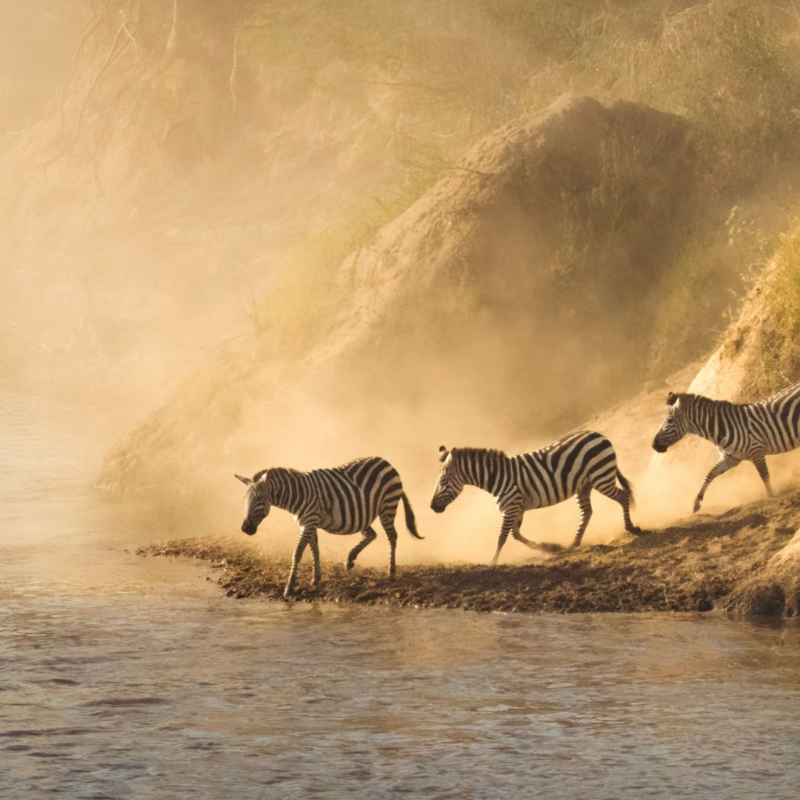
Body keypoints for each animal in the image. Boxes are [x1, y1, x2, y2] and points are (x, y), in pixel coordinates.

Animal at [235, 456, 422, 597]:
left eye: (259, 500)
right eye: (244, 500)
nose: (245, 529)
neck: (297, 495)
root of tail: (386, 462)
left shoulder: (309, 522)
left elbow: (298, 553)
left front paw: (289, 586)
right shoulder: (309, 523)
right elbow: (314, 549)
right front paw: (316, 578)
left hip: (387, 507)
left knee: (392, 536)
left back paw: (391, 571)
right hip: (362, 515)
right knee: (371, 535)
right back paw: (350, 560)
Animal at [430, 431, 641, 563]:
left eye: (443, 482)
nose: (432, 507)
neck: (497, 477)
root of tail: (597, 434)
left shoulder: (510, 506)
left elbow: (502, 537)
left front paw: (493, 561)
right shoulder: (517, 507)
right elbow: (515, 534)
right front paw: (547, 547)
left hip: (601, 476)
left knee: (623, 496)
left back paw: (632, 528)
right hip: (584, 485)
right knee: (587, 512)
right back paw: (574, 543)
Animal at [652, 382, 800, 512]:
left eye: (669, 421)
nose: (653, 445)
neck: (724, 428)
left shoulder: (756, 451)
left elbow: (764, 475)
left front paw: (771, 496)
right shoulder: (730, 458)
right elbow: (709, 475)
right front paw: (696, 503)